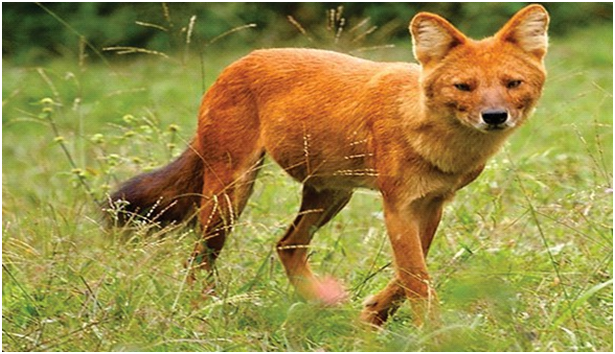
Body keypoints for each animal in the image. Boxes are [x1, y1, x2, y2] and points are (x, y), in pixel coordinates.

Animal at [110, 4, 548, 326]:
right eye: (463, 86)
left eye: (512, 83)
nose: (495, 116)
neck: (441, 141)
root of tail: (240, 60)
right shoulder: (397, 207)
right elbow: (417, 278)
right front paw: (433, 332)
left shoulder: (432, 205)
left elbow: (410, 274)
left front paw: (373, 315)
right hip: (231, 192)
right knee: (200, 256)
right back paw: (204, 311)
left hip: (331, 194)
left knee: (287, 244)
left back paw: (320, 303)